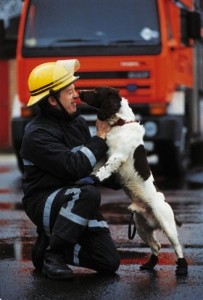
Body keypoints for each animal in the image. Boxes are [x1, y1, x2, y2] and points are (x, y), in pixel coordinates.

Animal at [79, 85, 189, 276]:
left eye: (96, 90)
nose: (79, 93)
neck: (120, 123)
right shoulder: (105, 155)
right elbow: (98, 166)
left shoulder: (117, 156)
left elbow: (102, 171)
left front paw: (90, 179)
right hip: (141, 226)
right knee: (156, 245)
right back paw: (149, 264)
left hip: (167, 224)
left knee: (176, 246)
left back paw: (182, 267)